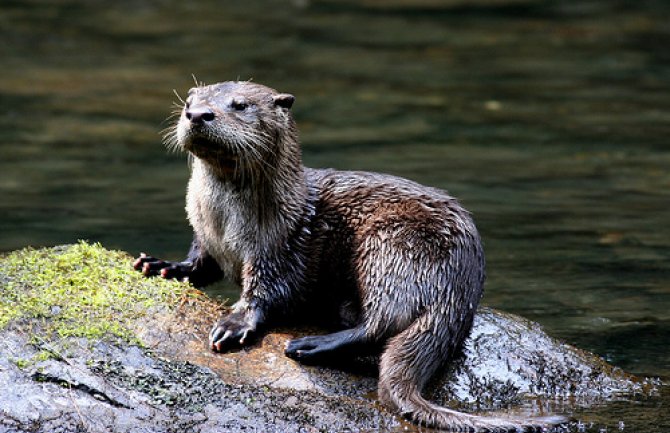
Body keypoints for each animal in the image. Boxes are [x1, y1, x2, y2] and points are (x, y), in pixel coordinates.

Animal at [134, 81, 560, 432]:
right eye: (188, 102)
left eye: (240, 105)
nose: (198, 114)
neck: (225, 226)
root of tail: (461, 288)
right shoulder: (205, 236)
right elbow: (199, 262)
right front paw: (162, 265)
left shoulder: (280, 247)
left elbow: (270, 292)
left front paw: (235, 323)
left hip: (391, 246)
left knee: (384, 323)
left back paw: (310, 345)